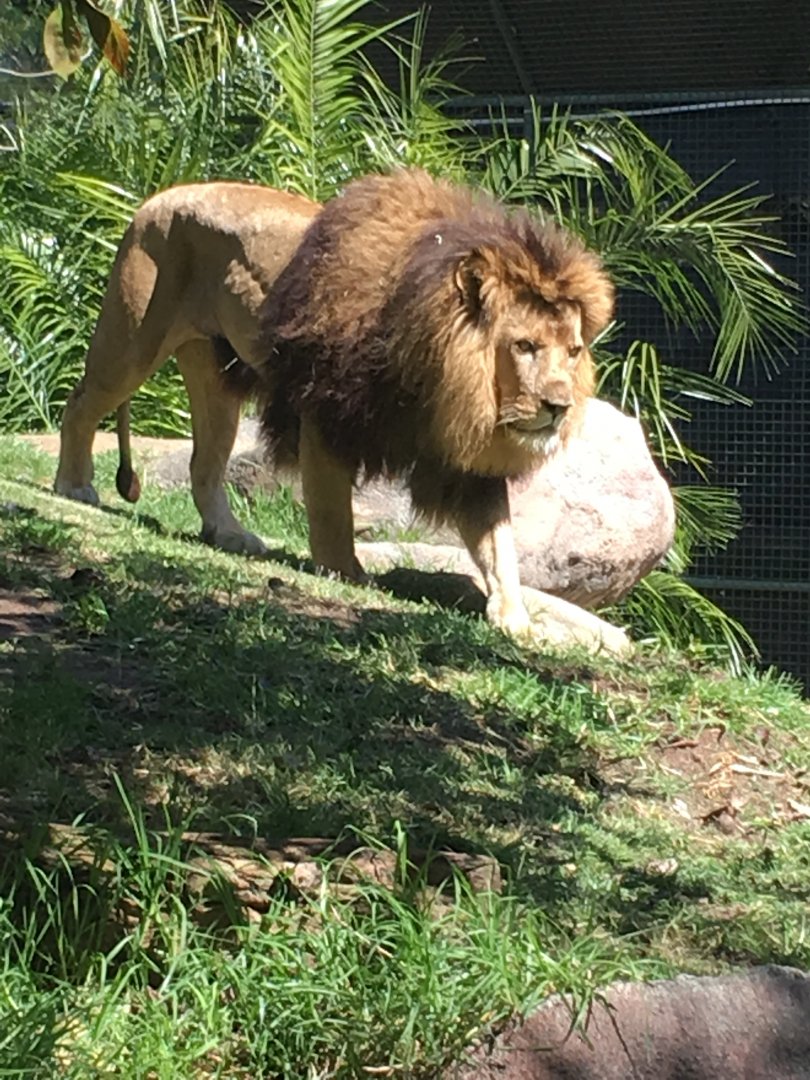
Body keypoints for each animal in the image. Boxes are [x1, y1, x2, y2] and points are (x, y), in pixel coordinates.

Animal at [54, 180, 320, 555]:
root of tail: (157, 198)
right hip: (133, 342)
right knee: (80, 403)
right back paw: (73, 487)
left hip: (211, 369)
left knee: (204, 463)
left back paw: (228, 534)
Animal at [258, 168, 614, 638]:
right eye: (524, 346)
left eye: (573, 352)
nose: (559, 406)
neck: (440, 384)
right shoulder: (330, 409)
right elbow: (330, 505)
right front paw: (343, 570)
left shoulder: (473, 468)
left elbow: (500, 545)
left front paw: (514, 618)